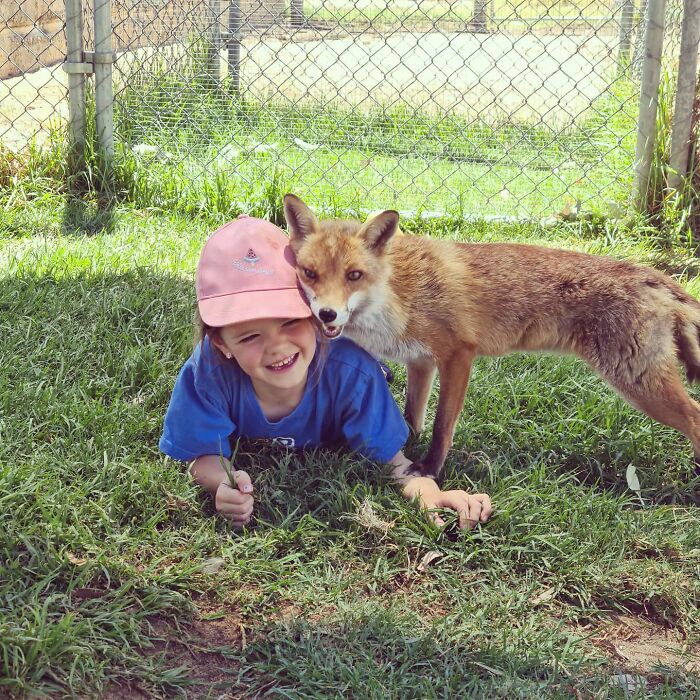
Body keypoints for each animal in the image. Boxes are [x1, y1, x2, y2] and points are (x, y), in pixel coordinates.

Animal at [282, 193, 700, 480]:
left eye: (354, 275)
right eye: (309, 273)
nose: (327, 314)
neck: (397, 293)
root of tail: (653, 275)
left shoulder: (457, 354)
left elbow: (441, 427)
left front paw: (429, 470)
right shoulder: (421, 361)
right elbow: (413, 418)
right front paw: (406, 444)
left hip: (639, 382)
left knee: (695, 419)